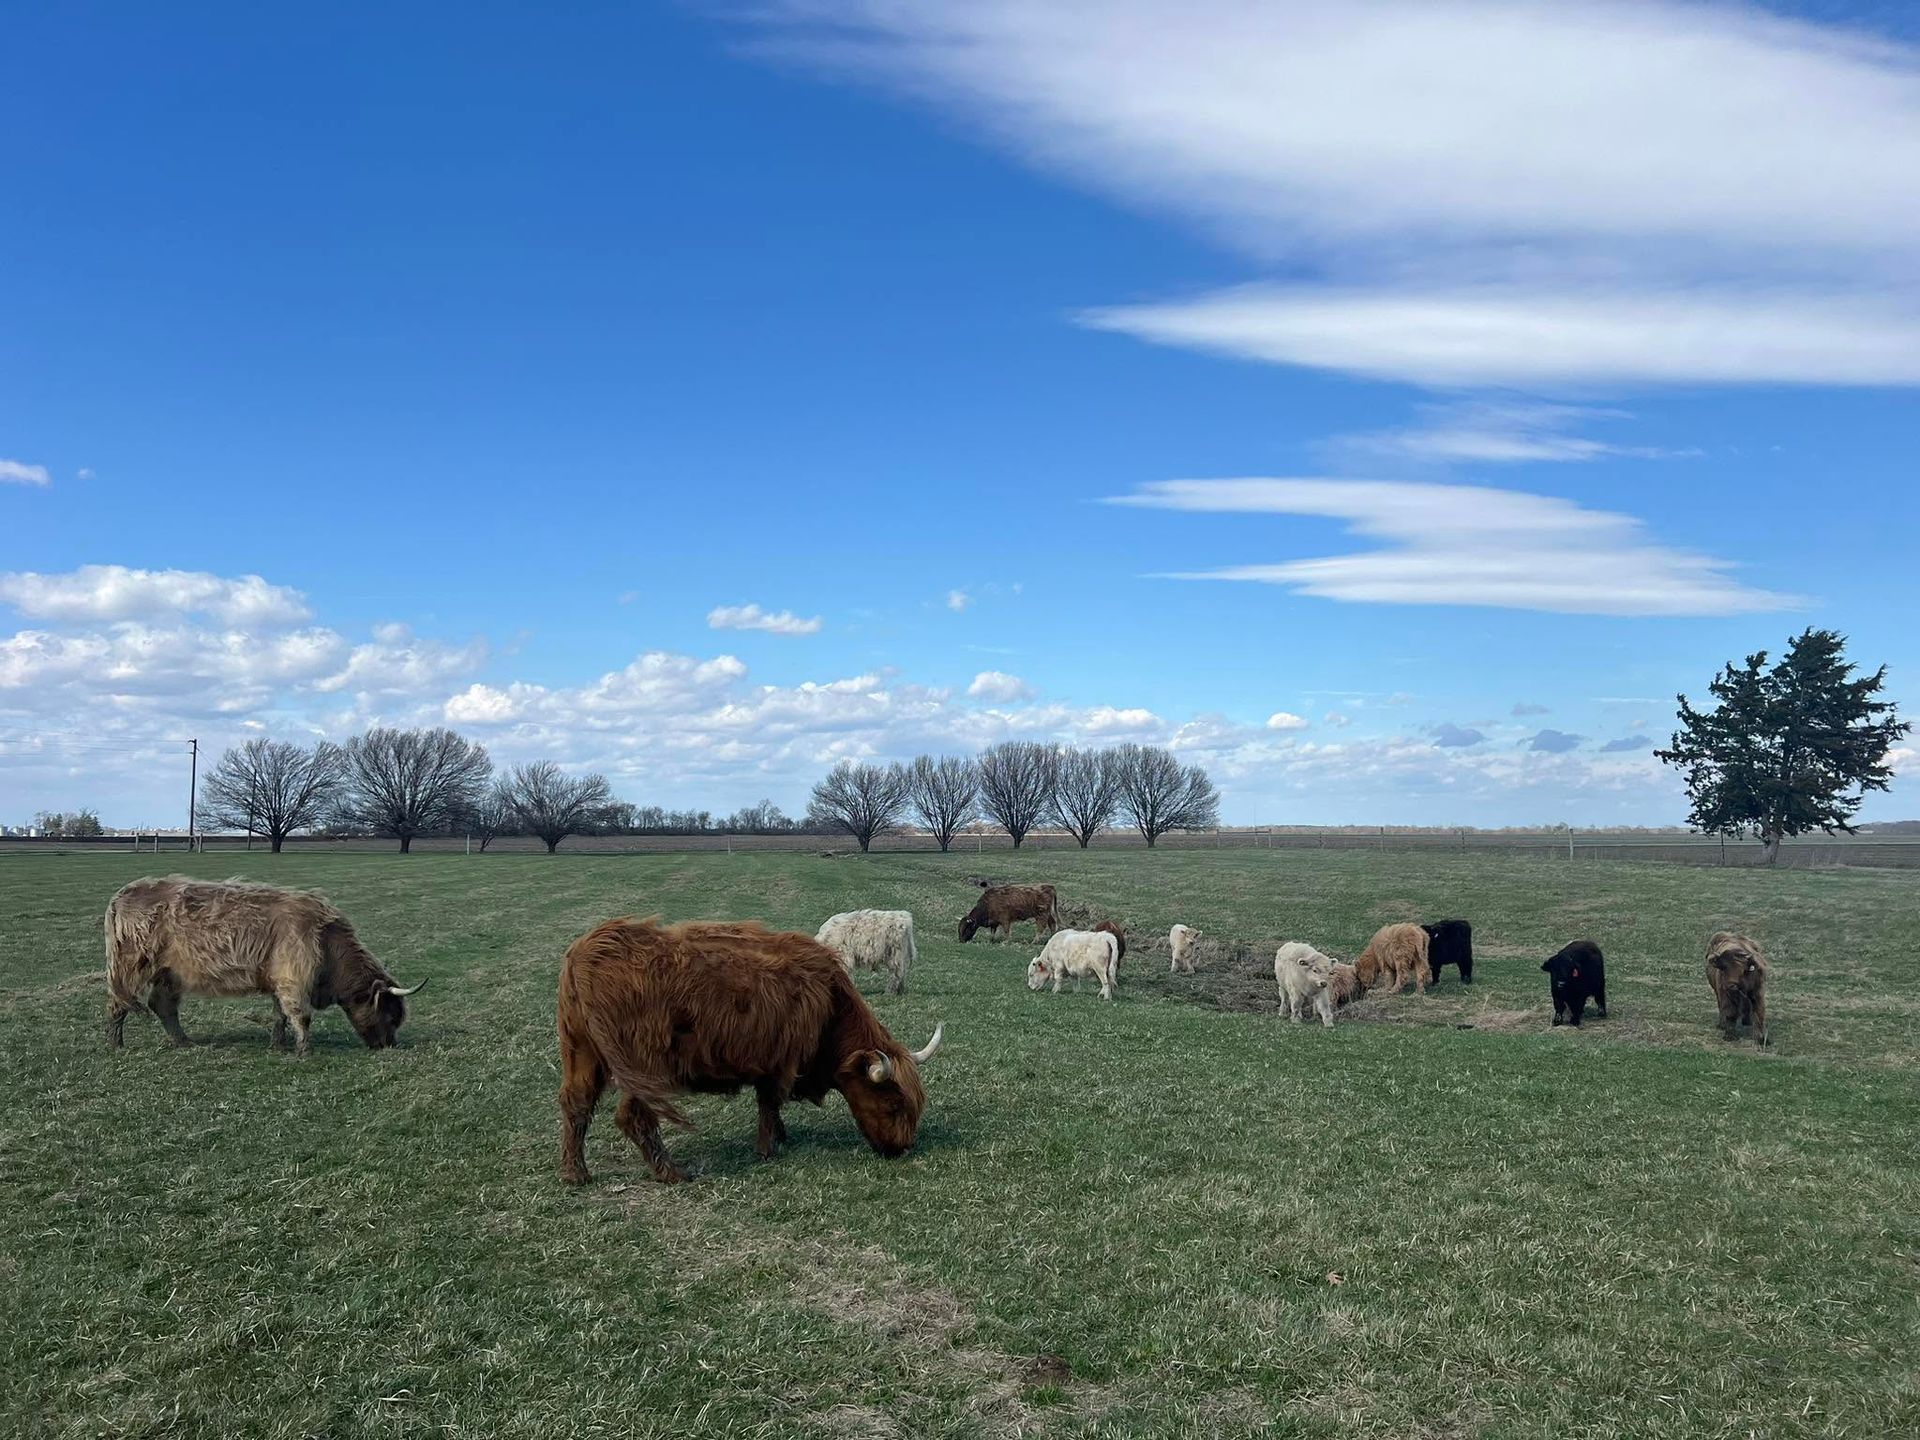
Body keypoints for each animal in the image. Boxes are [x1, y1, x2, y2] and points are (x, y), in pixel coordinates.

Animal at [104, 875, 423, 1057]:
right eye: (390, 1016)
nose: (389, 1045)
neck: (328, 943)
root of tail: (122, 894)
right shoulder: (293, 977)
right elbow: (300, 1015)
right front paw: (304, 1051)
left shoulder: (278, 978)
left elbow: (279, 1015)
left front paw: (278, 1046)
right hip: (130, 965)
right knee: (118, 1003)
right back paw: (115, 1044)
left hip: (170, 973)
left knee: (162, 1005)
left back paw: (183, 1042)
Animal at [556, 916, 944, 1185]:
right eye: (893, 1105)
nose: (902, 1148)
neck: (829, 1005)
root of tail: (589, 950)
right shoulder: (781, 1061)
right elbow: (769, 1104)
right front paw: (768, 1149)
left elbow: (773, 1106)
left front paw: (781, 1137)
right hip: (643, 1066)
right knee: (634, 1116)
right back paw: (671, 1173)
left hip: (582, 1054)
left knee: (576, 1104)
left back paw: (576, 1174)